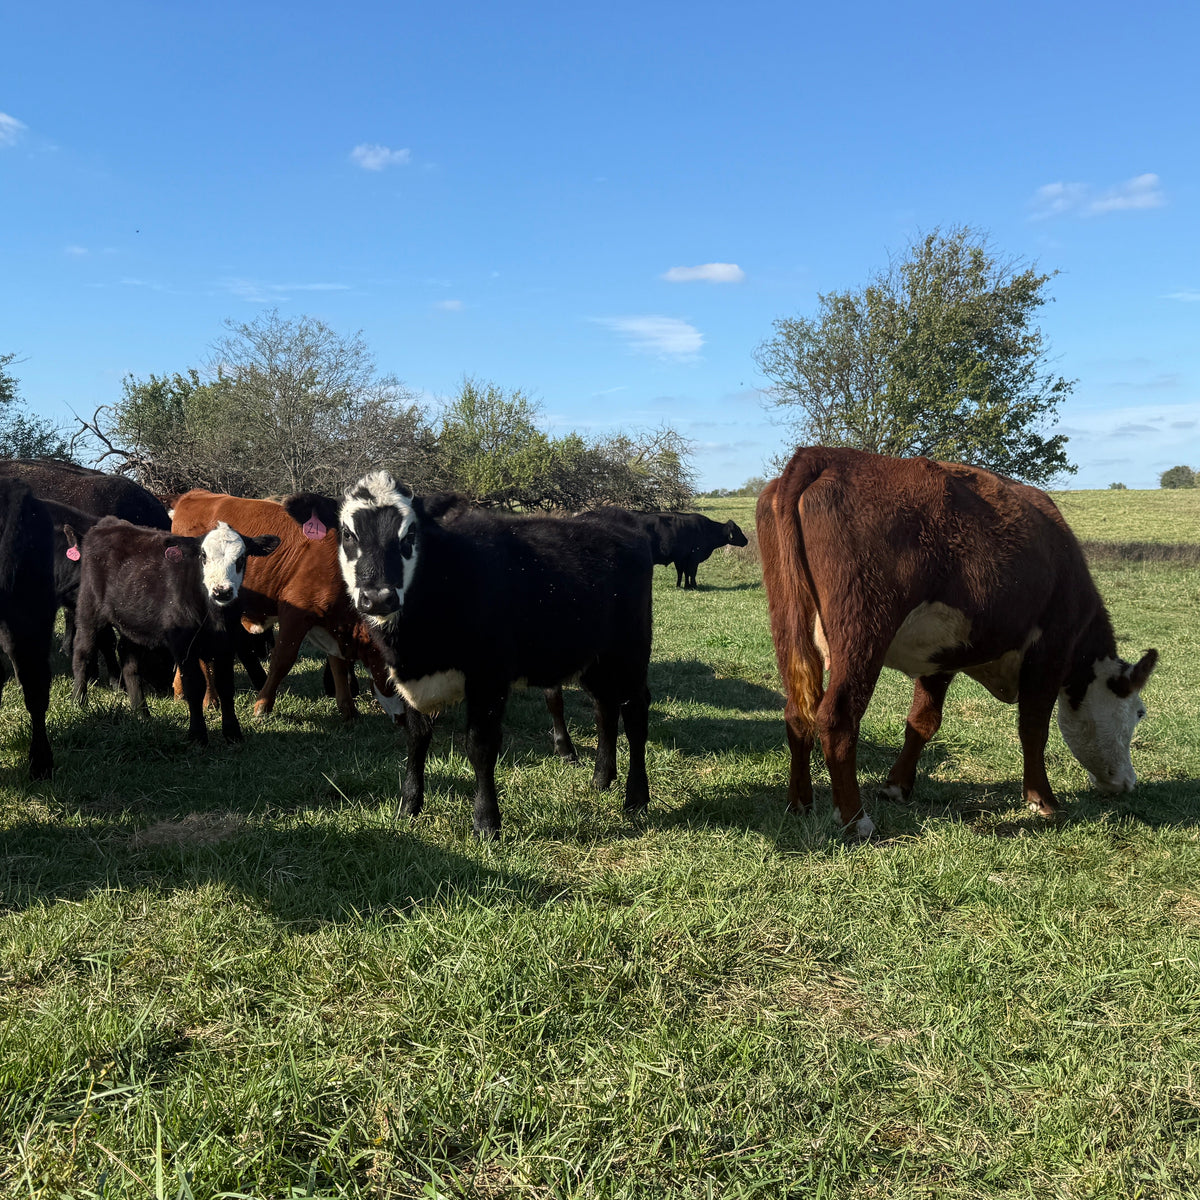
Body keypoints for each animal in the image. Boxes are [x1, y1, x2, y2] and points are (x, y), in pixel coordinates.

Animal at [72, 517, 279, 745]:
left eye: (241, 558)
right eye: (203, 556)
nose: (222, 591)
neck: (213, 614)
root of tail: (106, 524)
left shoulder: (226, 643)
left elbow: (225, 685)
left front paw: (233, 733)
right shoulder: (183, 644)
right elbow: (194, 685)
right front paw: (197, 735)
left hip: (133, 623)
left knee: (129, 663)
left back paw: (142, 714)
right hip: (89, 610)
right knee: (82, 653)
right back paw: (79, 701)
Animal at [171, 490, 403, 722]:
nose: (405, 719)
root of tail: (195, 494)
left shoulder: (333, 622)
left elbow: (338, 663)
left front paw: (348, 709)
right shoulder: (296, 611)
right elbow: (283, 659)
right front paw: (262, 706)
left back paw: (180, 690)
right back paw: (210, 699)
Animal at [339, 473, 654, 838]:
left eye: (410, 535)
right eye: (348, 534)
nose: (378, 598)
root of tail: (614, 516)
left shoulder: (488, 678)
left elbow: (480, 746)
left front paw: (486, 822)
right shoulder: (409, 682)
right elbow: (416, 740)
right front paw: (408, 808)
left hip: (631, 653)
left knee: (634, 715)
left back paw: (636, 798)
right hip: (594, 659)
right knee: (605, 710)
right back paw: (601, 779)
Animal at [757, 447, 1158, 838]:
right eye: (1139, 712)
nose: (1128, 782)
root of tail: (824, 456)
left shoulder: (942, 655)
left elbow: (923, 721)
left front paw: (896, 786)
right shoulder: (1050, 650)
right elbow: (1034, 729)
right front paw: (1042, 799)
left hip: (790, 627)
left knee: (798, 711)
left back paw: (800, 802)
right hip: (863, 631)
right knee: (837, 717)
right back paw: (856, 820)